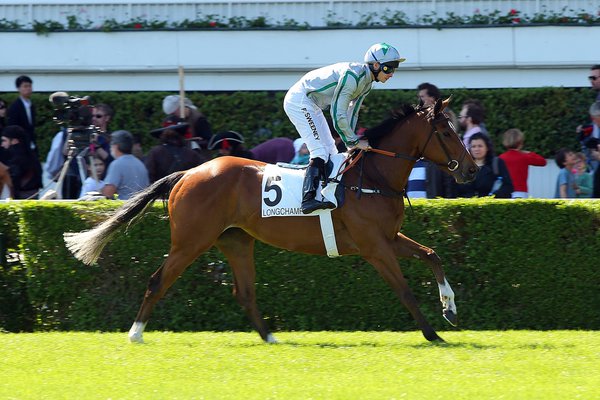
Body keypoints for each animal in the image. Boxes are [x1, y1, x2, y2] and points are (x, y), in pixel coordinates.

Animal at [64, 98, 478, 344]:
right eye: (445, 132)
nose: (472, 169)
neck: (371, 177)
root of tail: (187, 173)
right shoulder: (374, 247)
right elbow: (405, 290)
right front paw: (433, 333)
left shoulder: (389, 238)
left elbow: (432, 254)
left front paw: (450, 309)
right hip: (190, 241)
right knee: (157, 281)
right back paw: (135, 334)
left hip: (235, 240)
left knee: (244, 292)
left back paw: (271, 338)